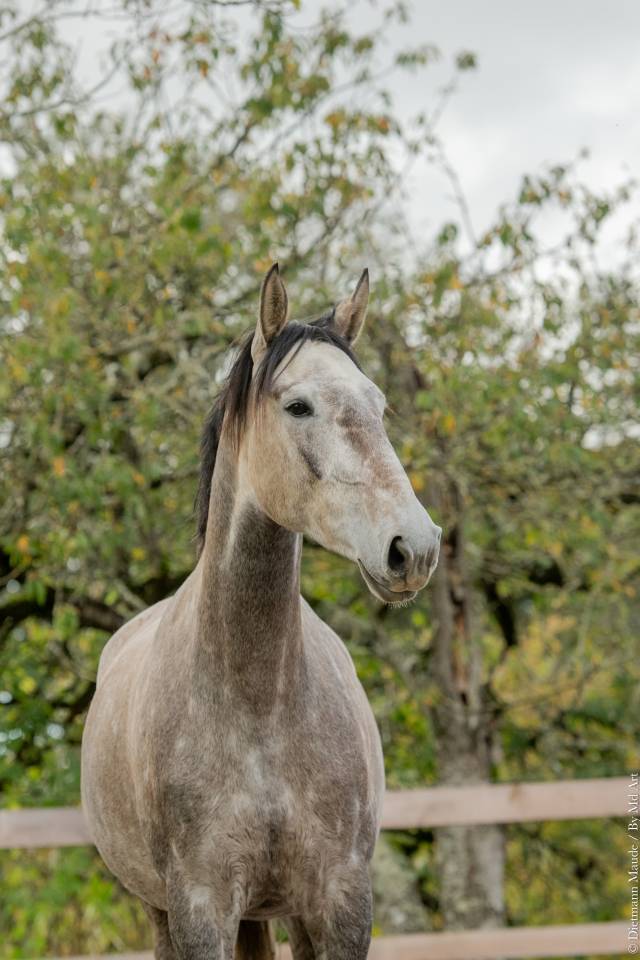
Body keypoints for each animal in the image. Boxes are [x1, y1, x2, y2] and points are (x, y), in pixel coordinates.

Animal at [81, 264, 441, 960]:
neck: (258, 704)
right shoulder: (201, 907)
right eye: (297, 406)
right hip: (164, 909)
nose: (414, 547)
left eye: (379, 406)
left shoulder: (340, 901)